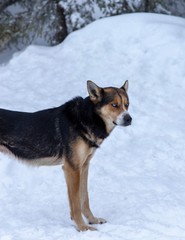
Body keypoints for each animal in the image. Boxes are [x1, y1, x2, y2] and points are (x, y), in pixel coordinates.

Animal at [0, 80, 132, 231]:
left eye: (127, 104)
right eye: (114, 105)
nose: (129, 119)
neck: (86, 119)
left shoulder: (84, 166)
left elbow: (84, 199)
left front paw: (92, 220)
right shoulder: (72, 169)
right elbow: (75, 204)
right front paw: (82, 228)